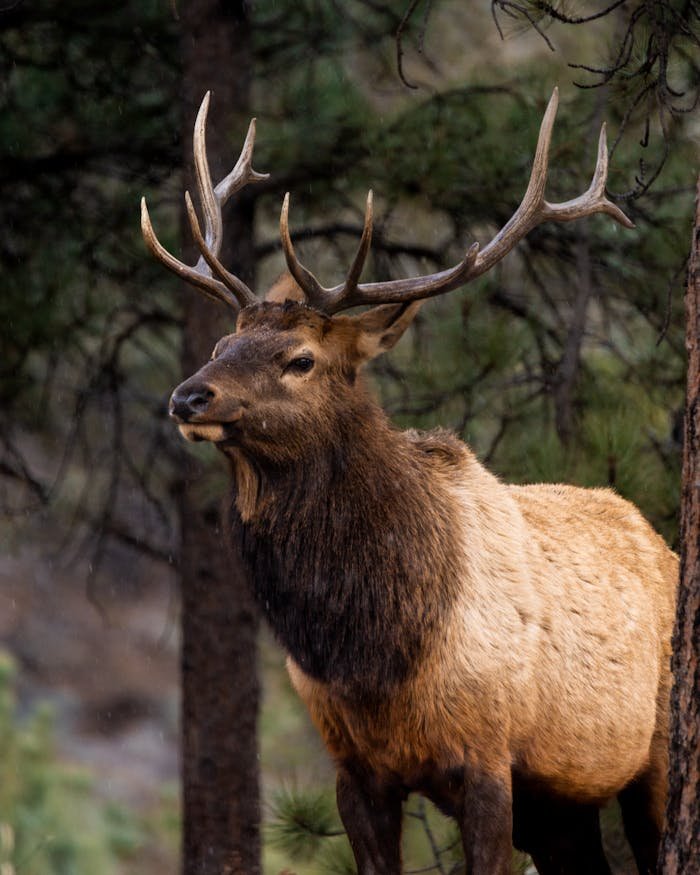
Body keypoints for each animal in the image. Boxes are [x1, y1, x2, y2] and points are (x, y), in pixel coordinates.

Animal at [141, 92, 680, 872]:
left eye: (299, 358)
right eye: (222, 343)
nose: (188, 398)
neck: (374, 652)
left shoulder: (488, 758)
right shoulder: (356, 768)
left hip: (655, 753)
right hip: (562, 803)